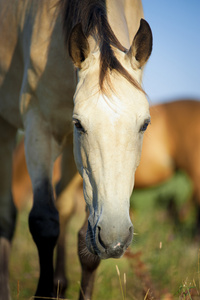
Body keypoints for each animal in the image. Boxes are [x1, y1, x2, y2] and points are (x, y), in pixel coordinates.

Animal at [0, 0, 152, 300]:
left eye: (144, 124)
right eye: (79, 124)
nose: (115, 239)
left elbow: (85, 241)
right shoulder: (39, 127)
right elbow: (44, 222)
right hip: (5, 128)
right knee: (6, 216)